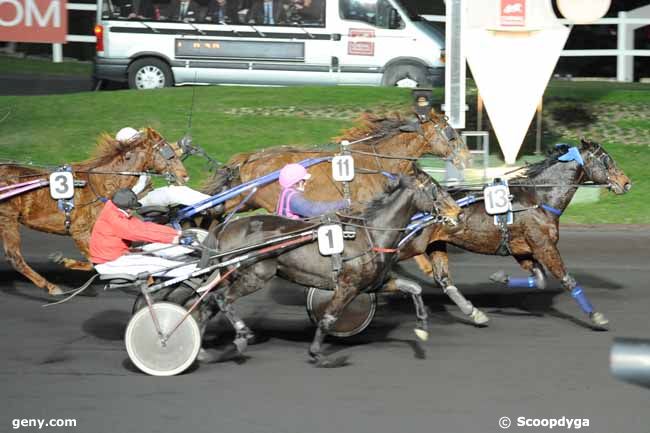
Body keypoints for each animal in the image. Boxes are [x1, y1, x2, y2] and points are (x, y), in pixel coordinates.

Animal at [0, 125, 187, 294]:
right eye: (169, 153)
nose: (185, 175)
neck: (101, 184)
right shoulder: (80, 231)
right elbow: (93, 261)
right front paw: (65, 262)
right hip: (8, 219)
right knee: (14, 257)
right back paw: (51, 286)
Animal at [202, 174, 460, 366]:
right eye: (436, 191)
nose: (457, 213)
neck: (371, 234)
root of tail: (224, 228)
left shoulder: (374, 283)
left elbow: (414, 288)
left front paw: (422, 327)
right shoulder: (348, 286)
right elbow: (328, 318)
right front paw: (318, 353)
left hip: (234, 275)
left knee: (209, 304)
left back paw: (203, 350)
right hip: (255, 275)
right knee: (222, 299)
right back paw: (241, 335)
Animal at [412, 140, 632, 330]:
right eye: (607, 159)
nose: (626, 182)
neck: (538, 199)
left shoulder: (522, 250)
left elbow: (540, 279)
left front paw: (501, 278)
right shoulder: (544, 246)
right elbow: (568, 280)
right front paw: (596, 317)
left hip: (436, 243)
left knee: (443, 279)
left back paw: (474, 313)